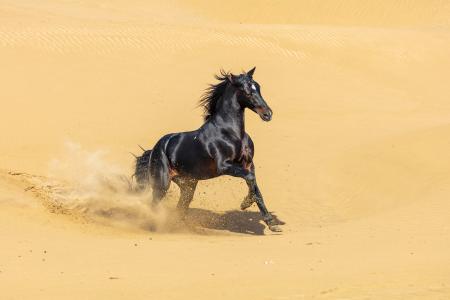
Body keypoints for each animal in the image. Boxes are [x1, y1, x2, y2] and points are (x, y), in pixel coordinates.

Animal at [134, 67, 282, 232]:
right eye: (247, 91)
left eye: (258, 87)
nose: (267, 114)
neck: (231, 133)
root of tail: (154, 149)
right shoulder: (224, 166)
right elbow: (249, 179)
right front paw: (245, 203)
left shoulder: (249, 164)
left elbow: (256, 188)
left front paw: (271, 222)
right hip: (162, 183)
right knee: (154, 203)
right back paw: (154, 226)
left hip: (188, 184)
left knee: (181, 206)